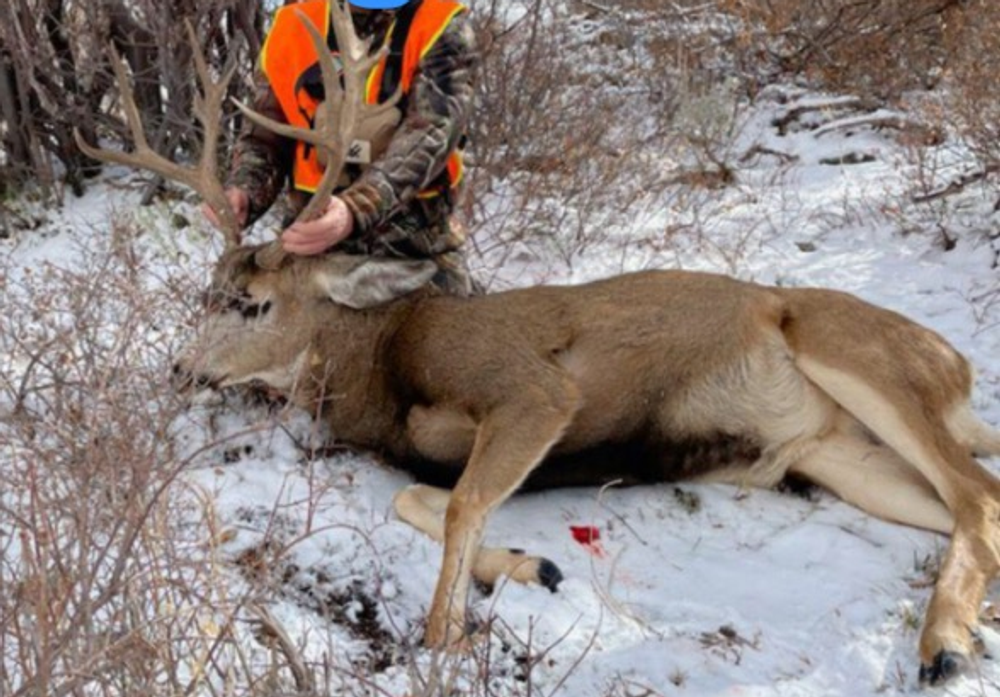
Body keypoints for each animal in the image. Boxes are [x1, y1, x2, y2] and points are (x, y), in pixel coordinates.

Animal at [78, 1, 1000, 684]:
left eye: (255, 303)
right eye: (205, 292)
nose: (180, 366)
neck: (380, 365)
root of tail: (954, 369)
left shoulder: (529, 388)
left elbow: (458, 502)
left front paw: (445, 634)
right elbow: (423, 499)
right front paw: (535, 564)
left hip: (851, 347)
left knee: (976, 490)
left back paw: (943, 645)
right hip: (836, 455)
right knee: (976, 503)